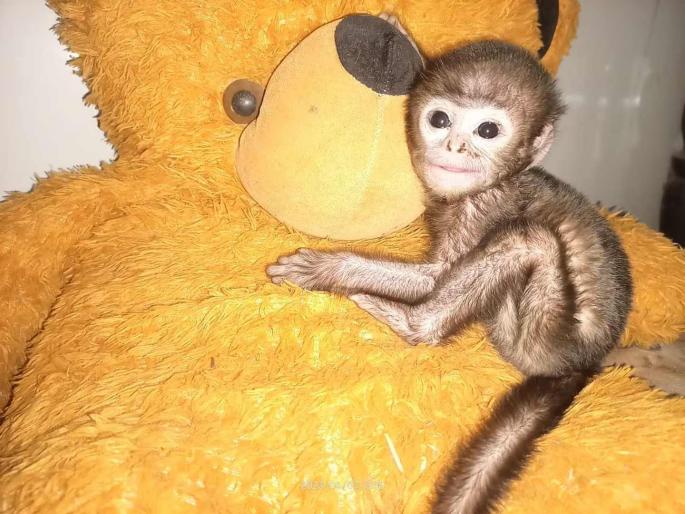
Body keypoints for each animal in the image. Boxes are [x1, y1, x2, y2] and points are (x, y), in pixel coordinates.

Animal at [266, 40, 633, 514]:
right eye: (439, 120)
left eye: (488, 130)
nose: (456, 145)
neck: (499, 182)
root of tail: (584, 364)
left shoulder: (484, 208)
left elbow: (439, 278)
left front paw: (329, 269)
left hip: (539, 338)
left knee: (529, 240)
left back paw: (410, 323)